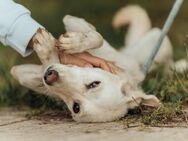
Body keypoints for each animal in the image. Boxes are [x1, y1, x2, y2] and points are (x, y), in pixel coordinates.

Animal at [10, 5, 176, 122]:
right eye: (94, 84)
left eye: (76, 107)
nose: (50, 76)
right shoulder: (73, 21)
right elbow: (98, 37)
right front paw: (73, 43)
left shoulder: (25, 75)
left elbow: (42, 63)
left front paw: (47, 49)